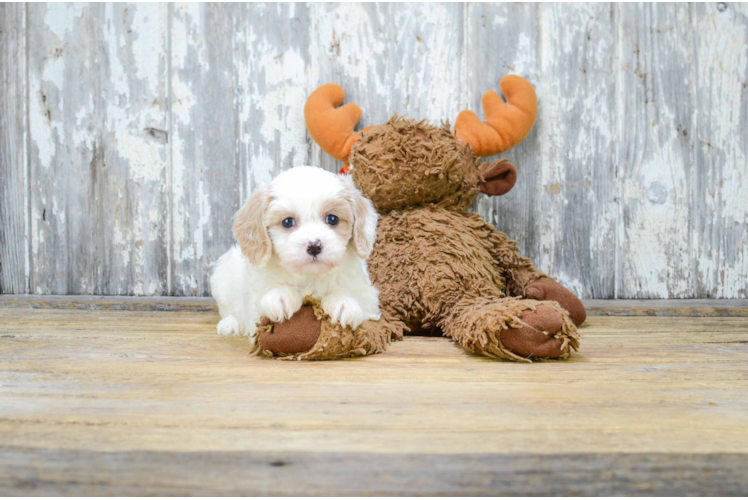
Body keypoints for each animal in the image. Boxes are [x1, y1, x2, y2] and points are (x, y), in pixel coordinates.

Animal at [209, 166, 380, 342]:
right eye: (287, 222)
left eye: (332, 219)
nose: (314, 246)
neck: (310, 277)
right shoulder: (254, 305)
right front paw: (281, 296)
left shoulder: (369, 297)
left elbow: (358, 298)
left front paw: (342, 302)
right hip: (222, 279)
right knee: (229, 310)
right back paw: (230, 324)